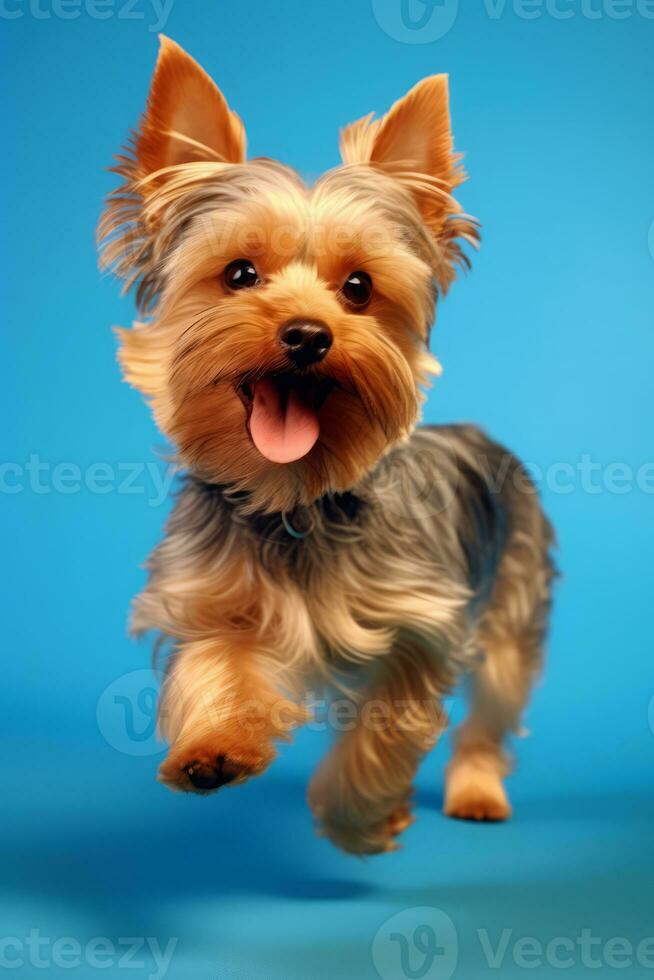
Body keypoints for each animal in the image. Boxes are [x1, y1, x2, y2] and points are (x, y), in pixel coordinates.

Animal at [100, 34, 556, 852]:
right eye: (239, 273)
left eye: (359, 288)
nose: (308, 335)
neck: (293, 499)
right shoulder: (213, 598)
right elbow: (219, 663)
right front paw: (214, 748)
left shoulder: (424, 622)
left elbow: (387, 727)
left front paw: (363, 821)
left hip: (515, 597)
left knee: (494, 710)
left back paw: (476, 790)